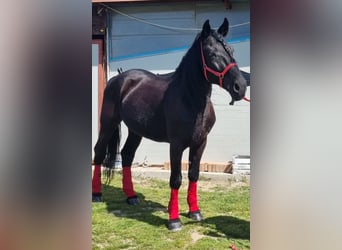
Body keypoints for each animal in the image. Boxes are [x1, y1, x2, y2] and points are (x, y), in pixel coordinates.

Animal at [92, 18, 247, 231]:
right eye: (212, 53)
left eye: (231, 50)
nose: (241, 87)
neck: (189, 98)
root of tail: (118, 78)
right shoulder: (176, 144)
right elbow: (176, 179)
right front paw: (174, 220)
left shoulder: (200, 143)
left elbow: (193, 174)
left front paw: (195, 212)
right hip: (108, 123)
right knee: (99, 151)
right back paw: (97, 194)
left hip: (136, 130)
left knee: (127, 155)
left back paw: (131, 196)